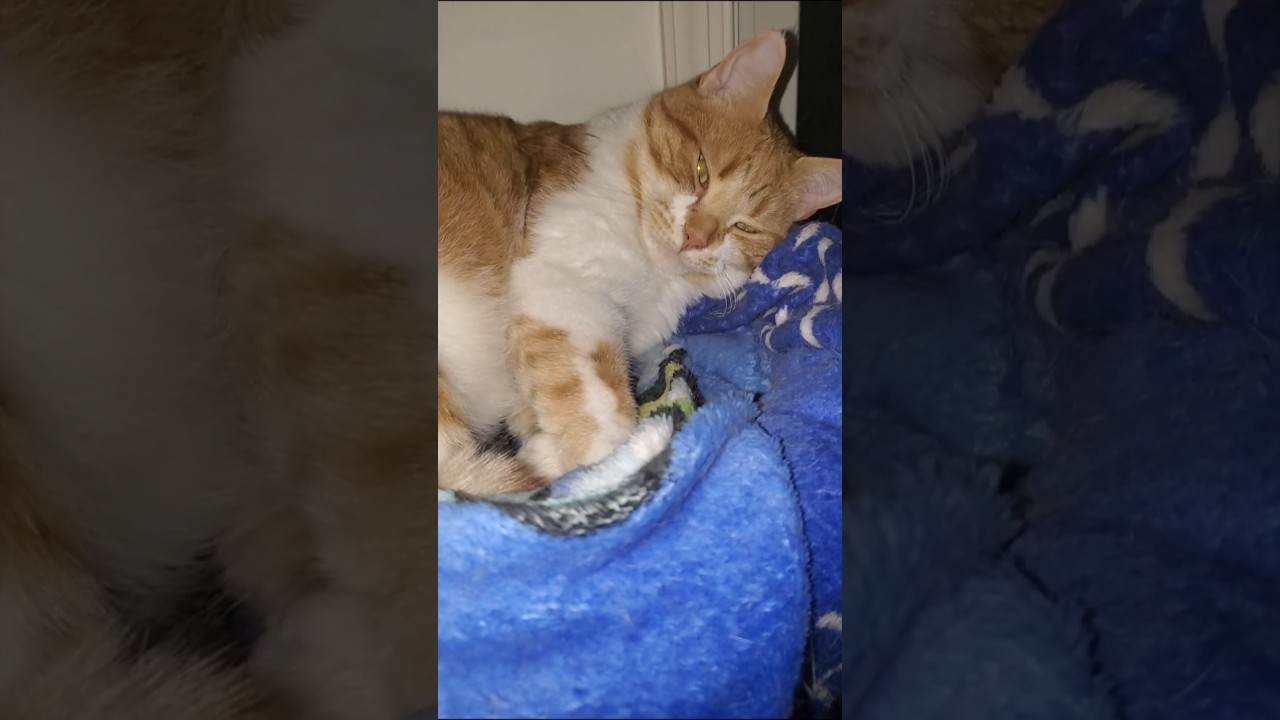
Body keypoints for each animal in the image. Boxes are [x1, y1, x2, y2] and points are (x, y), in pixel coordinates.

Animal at [437, 31, 843, 497]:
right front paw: (610, 460)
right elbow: (601, 397)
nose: (694, 236)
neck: (653, 277)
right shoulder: (564, 286)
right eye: (701, 171)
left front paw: (532, 421)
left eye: (745, 227)